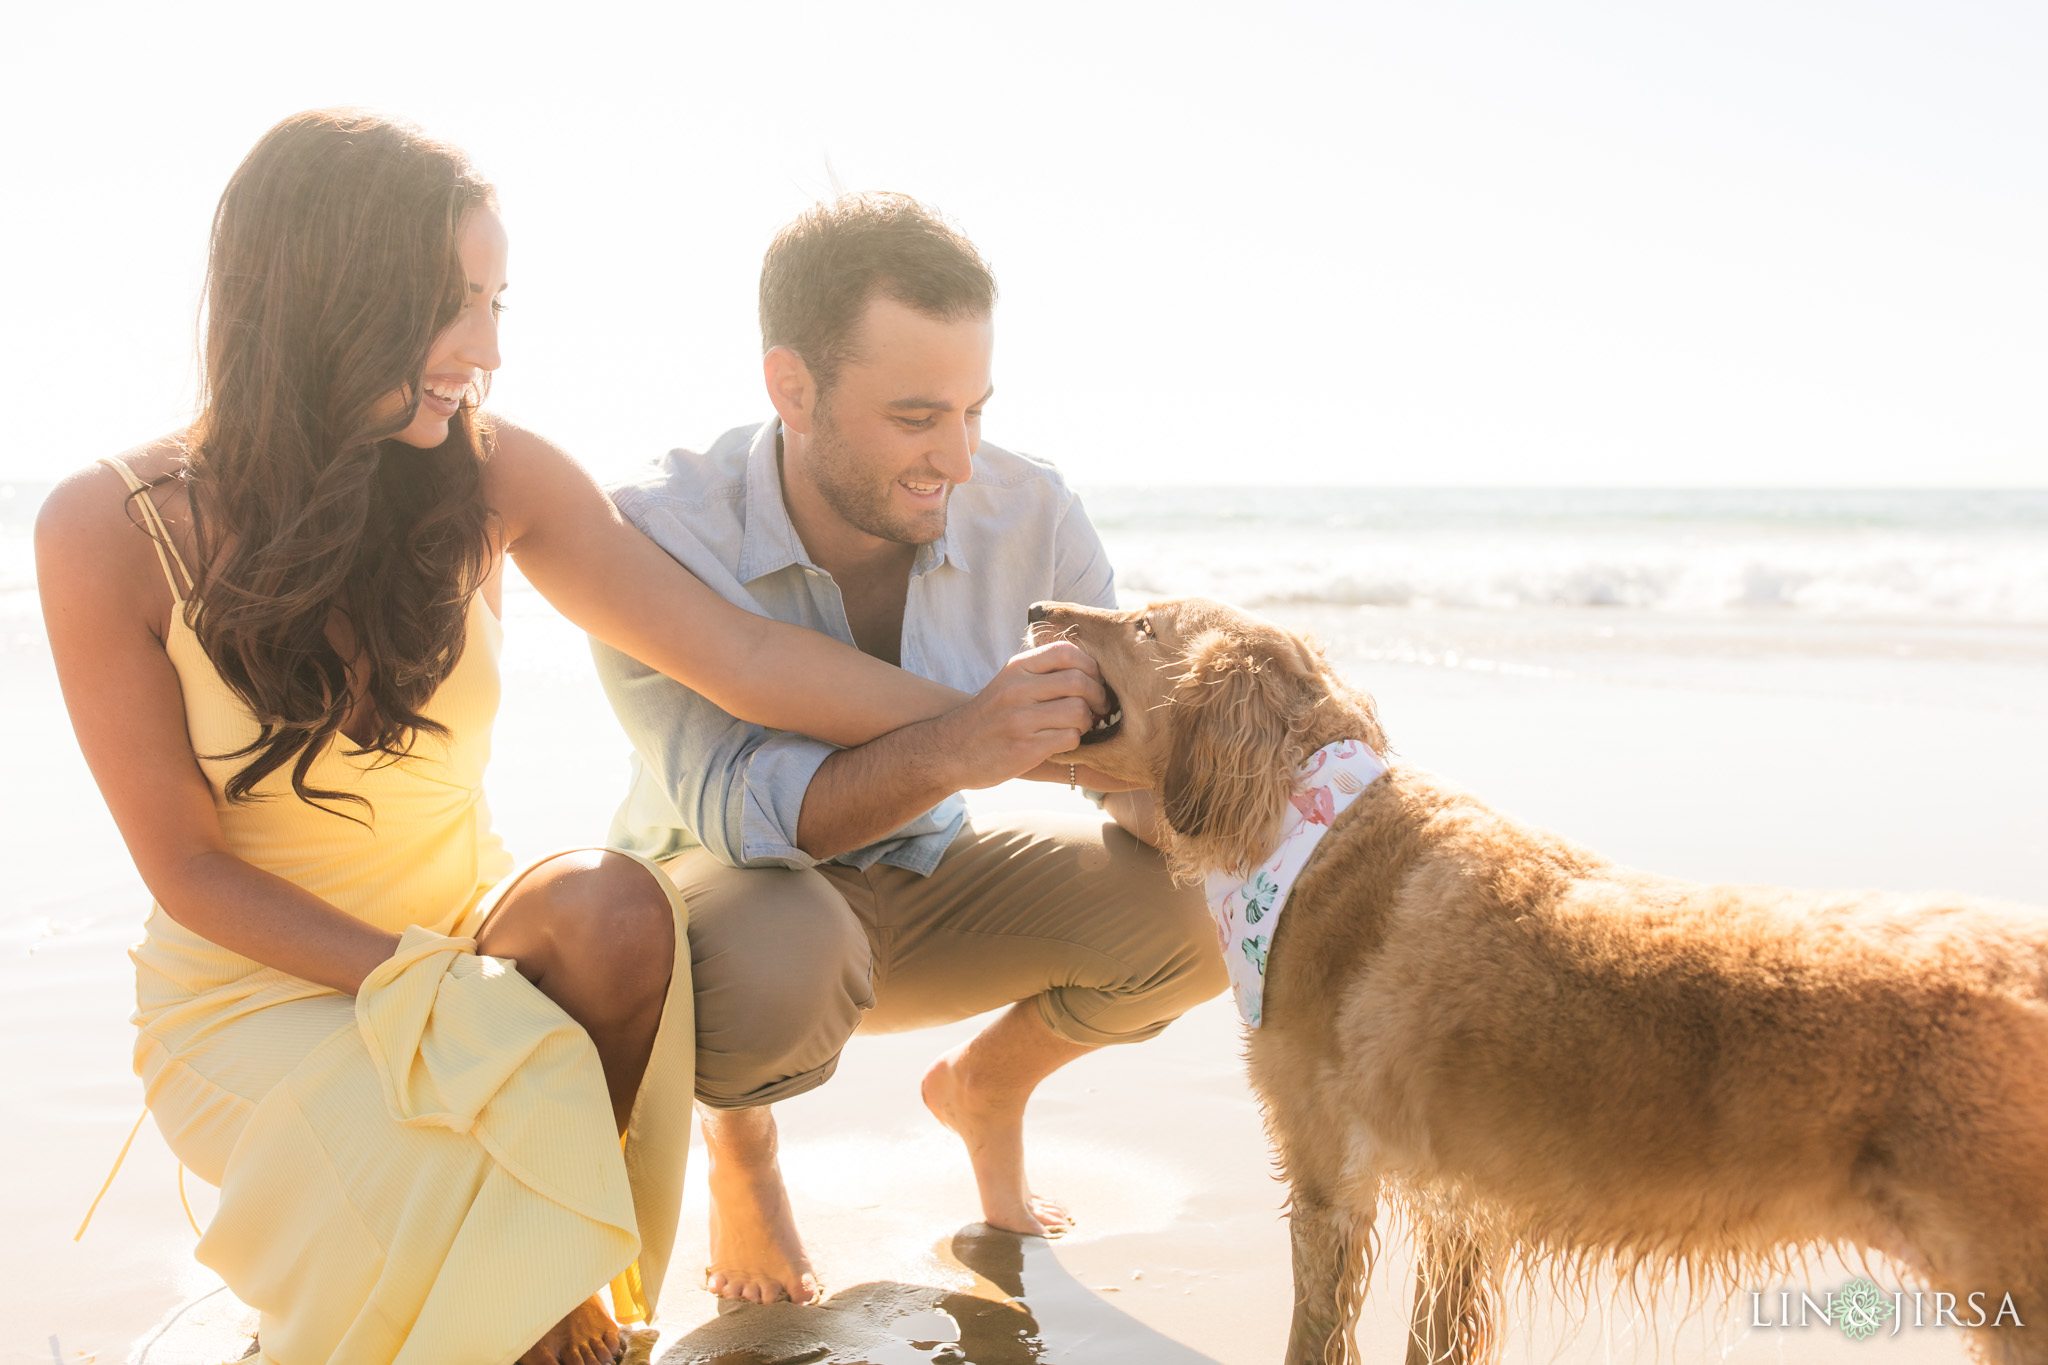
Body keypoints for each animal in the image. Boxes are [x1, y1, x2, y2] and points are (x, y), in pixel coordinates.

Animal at [1032, 597, 2048, 1365]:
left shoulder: (1329, 1185)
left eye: (1142, 622)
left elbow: (1316, 1337)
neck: (1308, 817)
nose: (1039, 608)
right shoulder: (1457, 1211)